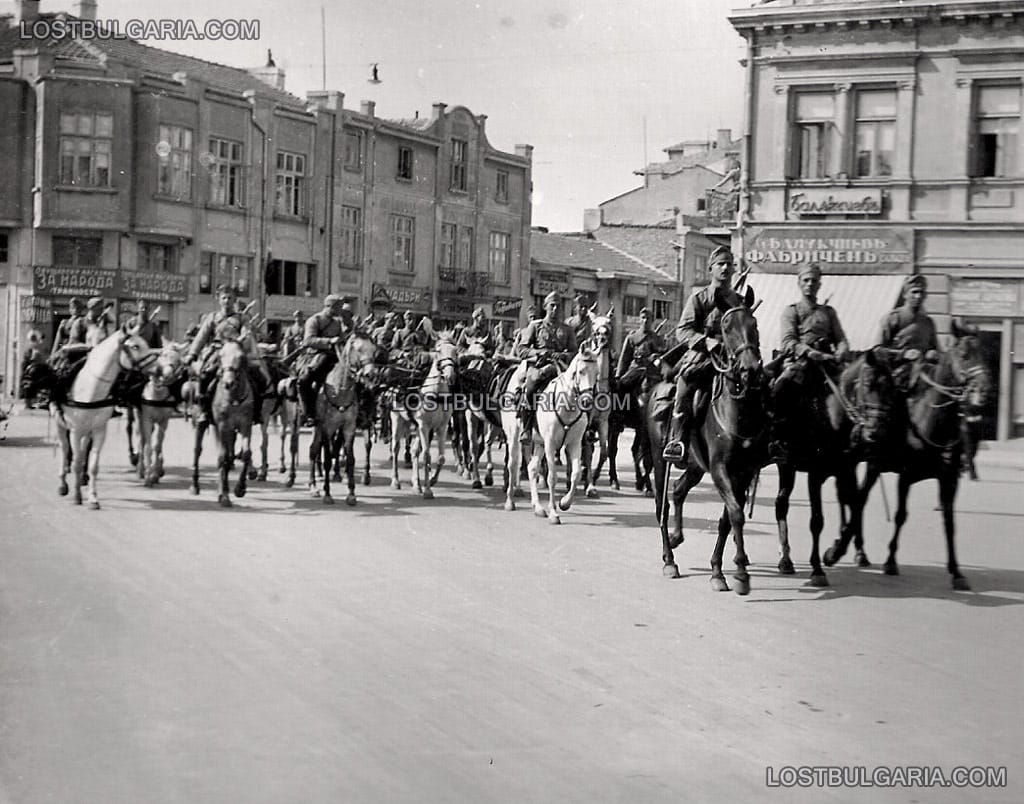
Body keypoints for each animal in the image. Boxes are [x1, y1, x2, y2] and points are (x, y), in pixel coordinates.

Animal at [56, 323, 157, 508]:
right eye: (135, 346)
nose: (158, 368)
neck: (91, 389)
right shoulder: (75, 431)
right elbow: (76, 462)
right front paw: (77, 496)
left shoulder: (99, 430)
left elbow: (93, 465)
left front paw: (93, 498)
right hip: (60, 424)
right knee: (65, 449)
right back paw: (63, 484)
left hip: (88, 431)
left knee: (83, 450)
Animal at [528, 344, 598, 520]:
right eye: (581, 371)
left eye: (597, 373)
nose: (587, 401)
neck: (567, 405)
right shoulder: (550, 444)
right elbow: (552, 477)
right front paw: (553, 512)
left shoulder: (575, 444)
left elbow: (576, 474)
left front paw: (565, 503)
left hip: (539, 443)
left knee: (532, 468)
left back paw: (538, 507)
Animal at [647, 290, 770, 594]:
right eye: (726, 327)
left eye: (754, 324)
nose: (750, 369)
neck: (739, 411)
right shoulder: (720, 469)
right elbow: (736, 514)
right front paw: (740, 574)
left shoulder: (743, 472)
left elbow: (728, 519)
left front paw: (720, 571)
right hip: (659, 460)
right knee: (662, 506)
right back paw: (669, 559)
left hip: (694, 466)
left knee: (678, 490)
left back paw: (677, 536)